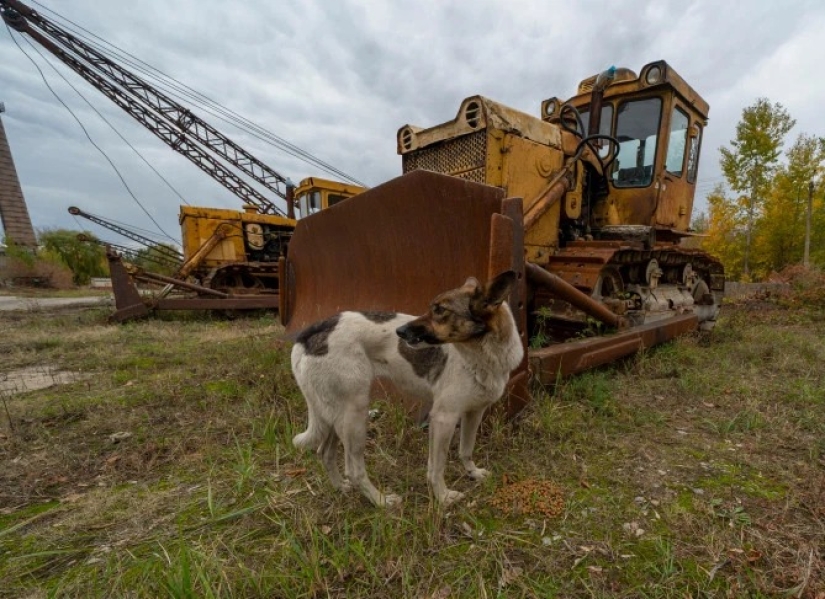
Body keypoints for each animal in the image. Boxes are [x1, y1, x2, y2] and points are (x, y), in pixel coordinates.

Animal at [290, 270, 520, 506]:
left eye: (440, 310)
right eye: (432, 308)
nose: (399, 331)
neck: (484, 356)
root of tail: (310, 333)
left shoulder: (474, 412)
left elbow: (466, 449)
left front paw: (473, 473)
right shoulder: (443, 418)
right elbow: (436, 467)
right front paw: (443, 497)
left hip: (335, 416)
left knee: (324, 453)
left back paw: (341, 489)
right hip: (355, 415)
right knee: (354, 471)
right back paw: (381, 501)